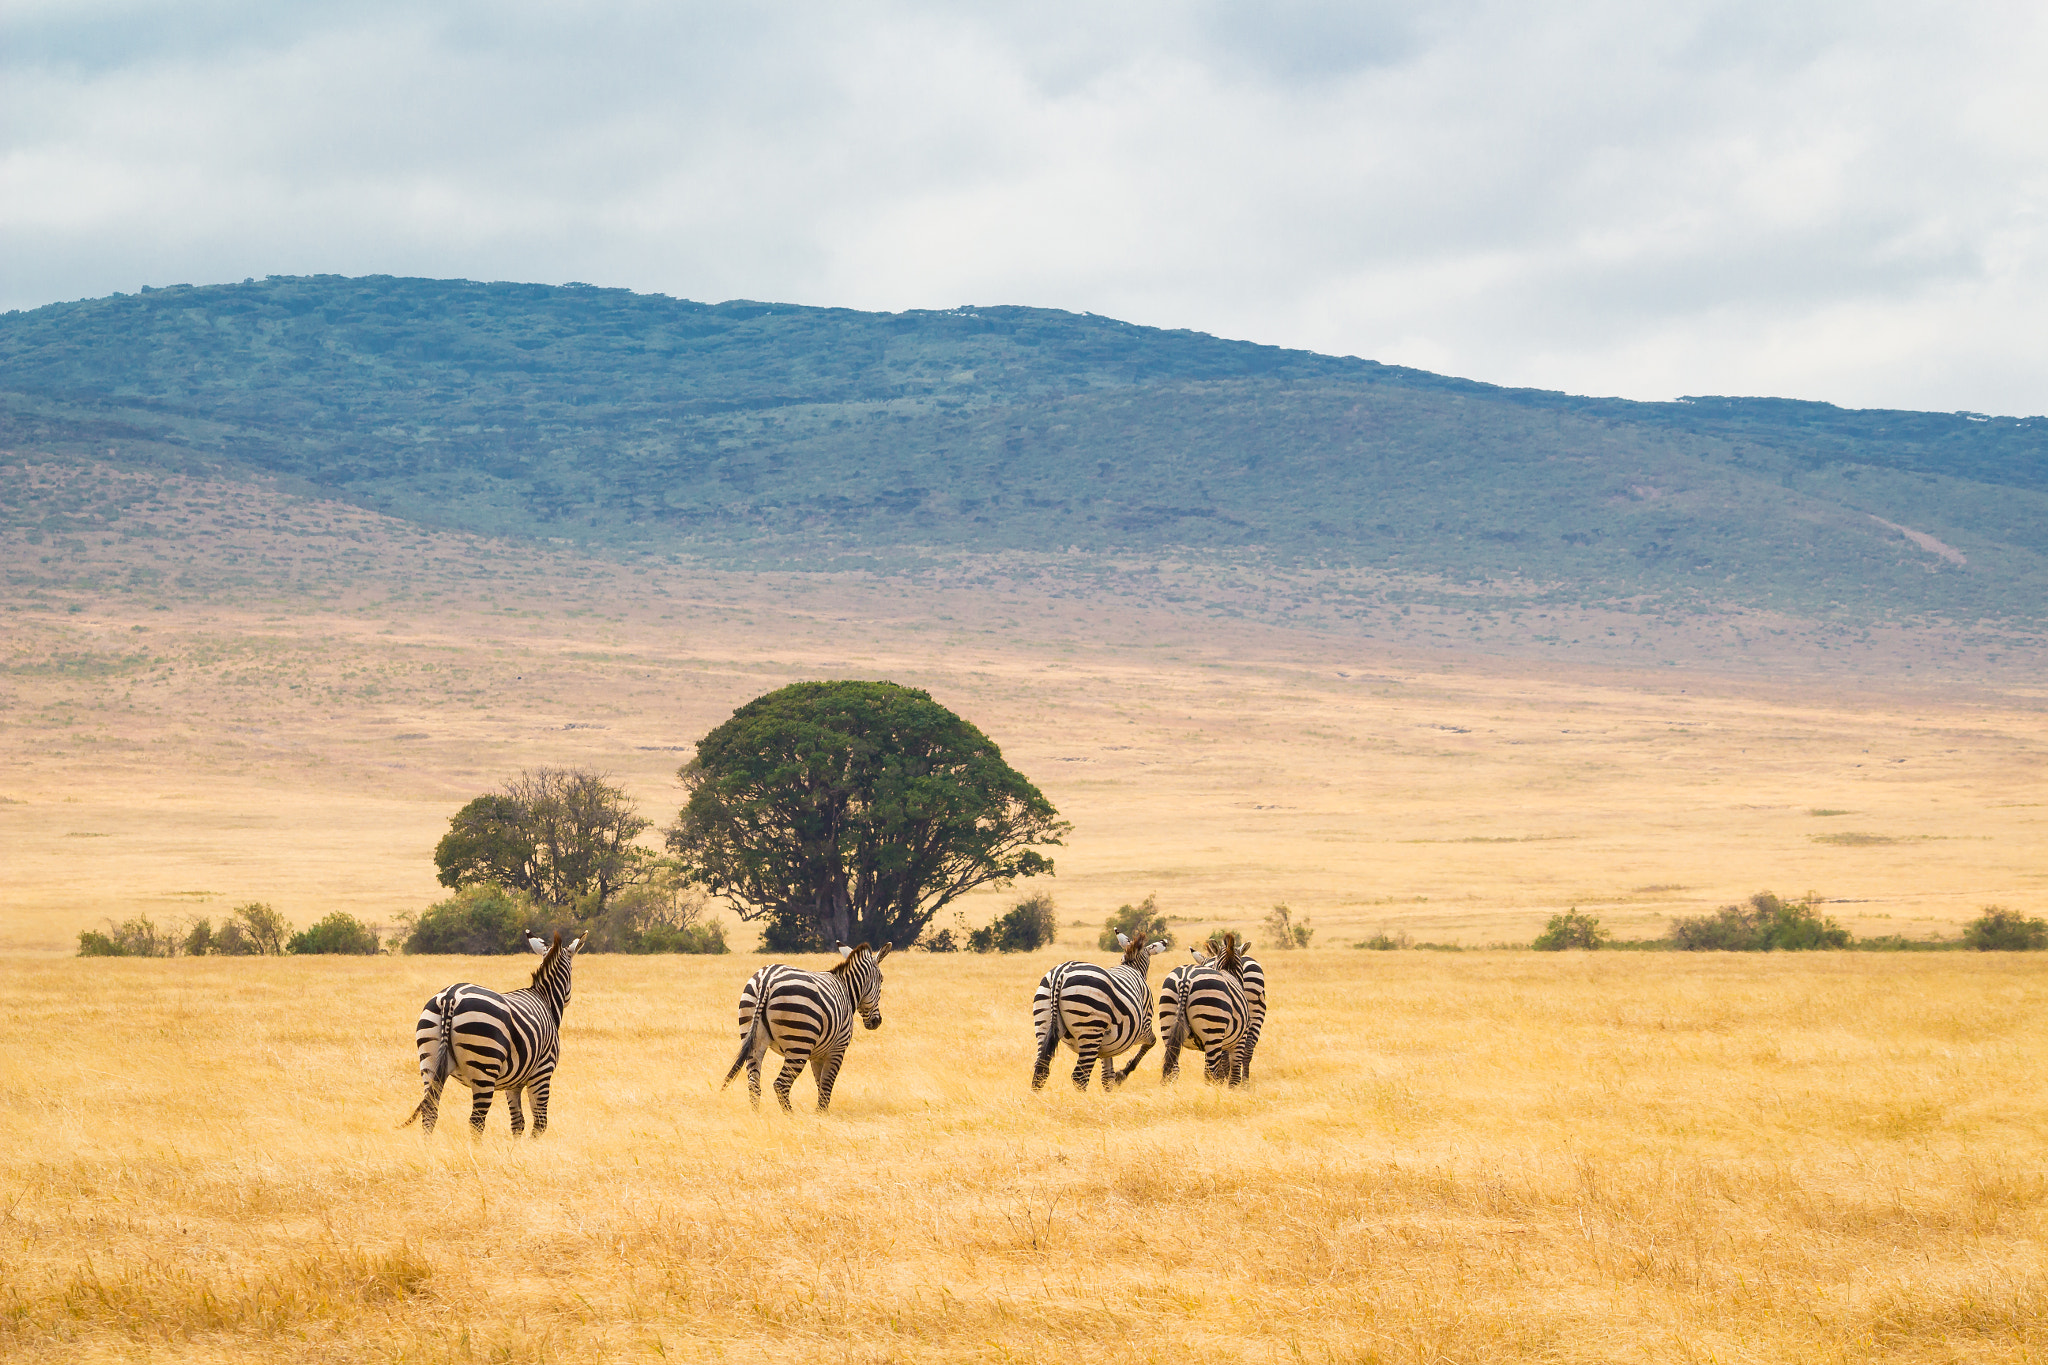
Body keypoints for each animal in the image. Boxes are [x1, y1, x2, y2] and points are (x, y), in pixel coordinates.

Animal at [402, 929, 584, 1137]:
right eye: (572, 973)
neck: (544, 998)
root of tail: (450, 996)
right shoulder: (542, 1071)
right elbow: (539, 1123)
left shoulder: (514, 1083)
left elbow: (517, 1123)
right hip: (484, 1066)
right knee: (476, 1121)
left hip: (429, 1060)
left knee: (430, 1112)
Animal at [722, 942, 891, 1113]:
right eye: (882, 980)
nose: (877, 1022)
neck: (846, 989)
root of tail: (766, 980)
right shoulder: (837, 1049)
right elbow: (827, 1084)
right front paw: (821, 1115)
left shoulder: (818, 1054)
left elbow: (820, 1083)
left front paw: (820, 1114)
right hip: (799, 1043)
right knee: (781, 1084)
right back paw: (791, 1117)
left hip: (752, 1036)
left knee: (753, 1083)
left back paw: (757, 1116)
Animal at [1031, 931, 1168, 1091]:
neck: (1132, 966)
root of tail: (1060, 974)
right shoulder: (1144, 1027)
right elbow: (1151, 1042)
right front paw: (1122, 1074)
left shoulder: (1107, 1045)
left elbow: (1107, 1076)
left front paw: (1109, 1092)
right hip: (1091, 1029)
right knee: (1080, 1077)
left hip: (1044, 1020)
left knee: (1040, 1070)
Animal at [1157, 931, 1250, 1085]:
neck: (1228, 971)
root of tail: (1185, 979)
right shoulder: (1239, 1039)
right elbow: (1234, 1074)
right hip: (1213, 1030)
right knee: (1211, 1072)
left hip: (1168, 1024)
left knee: (1173, 1068)